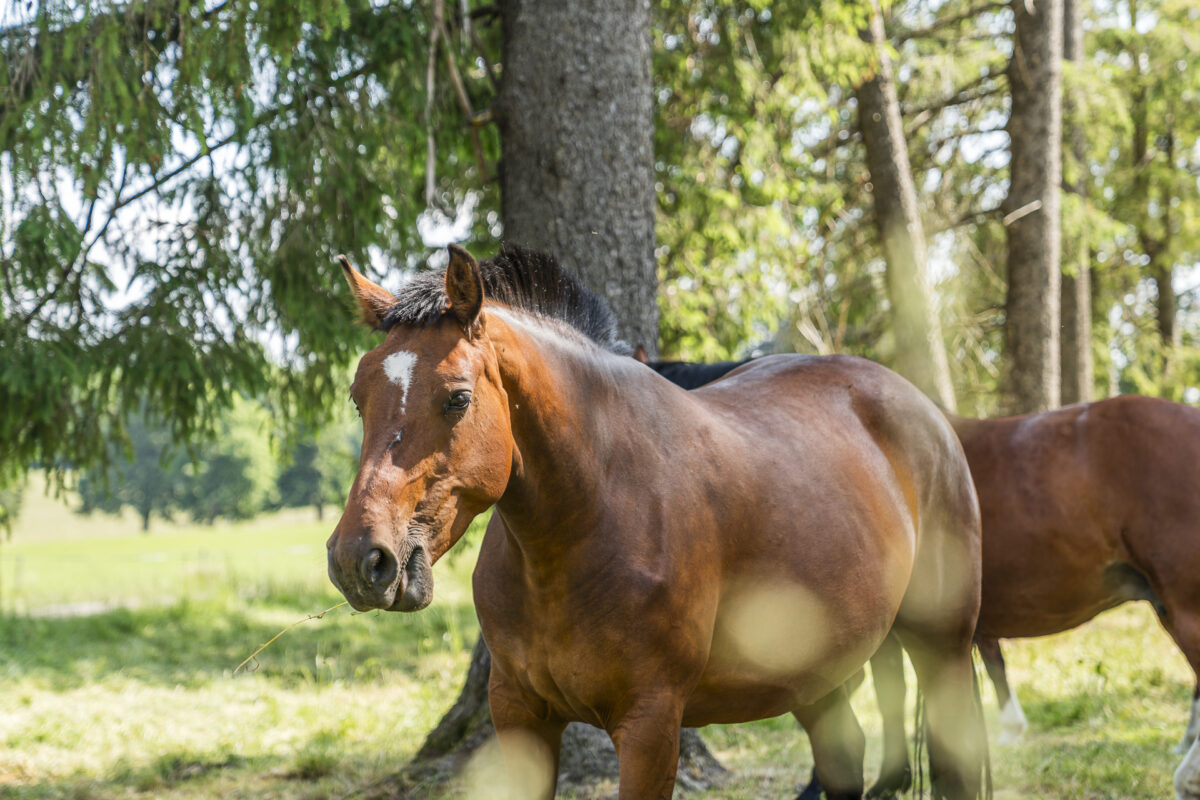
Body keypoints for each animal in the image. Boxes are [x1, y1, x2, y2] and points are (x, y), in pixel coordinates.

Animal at [324, 245, 988, 800]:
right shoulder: (519, 716)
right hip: (815, 678)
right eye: (358, 397)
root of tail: (925, 412)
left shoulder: (650, 725)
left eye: (457, 398)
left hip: (943, 647)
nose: (360, 559)